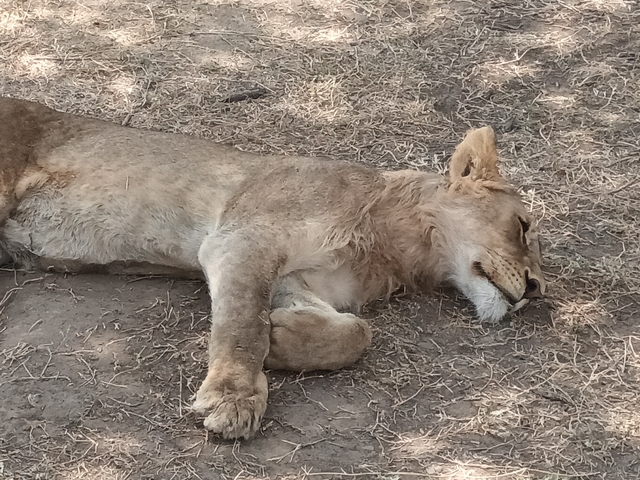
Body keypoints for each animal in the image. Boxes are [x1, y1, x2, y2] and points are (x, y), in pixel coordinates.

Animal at [0, 97, 544, 439]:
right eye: (522, 227)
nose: (536, 288)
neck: (396, 245)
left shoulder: (296, 280)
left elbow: (357, 333)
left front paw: (280, 338)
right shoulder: (242, 241)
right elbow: (242, 326)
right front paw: (234, 399)